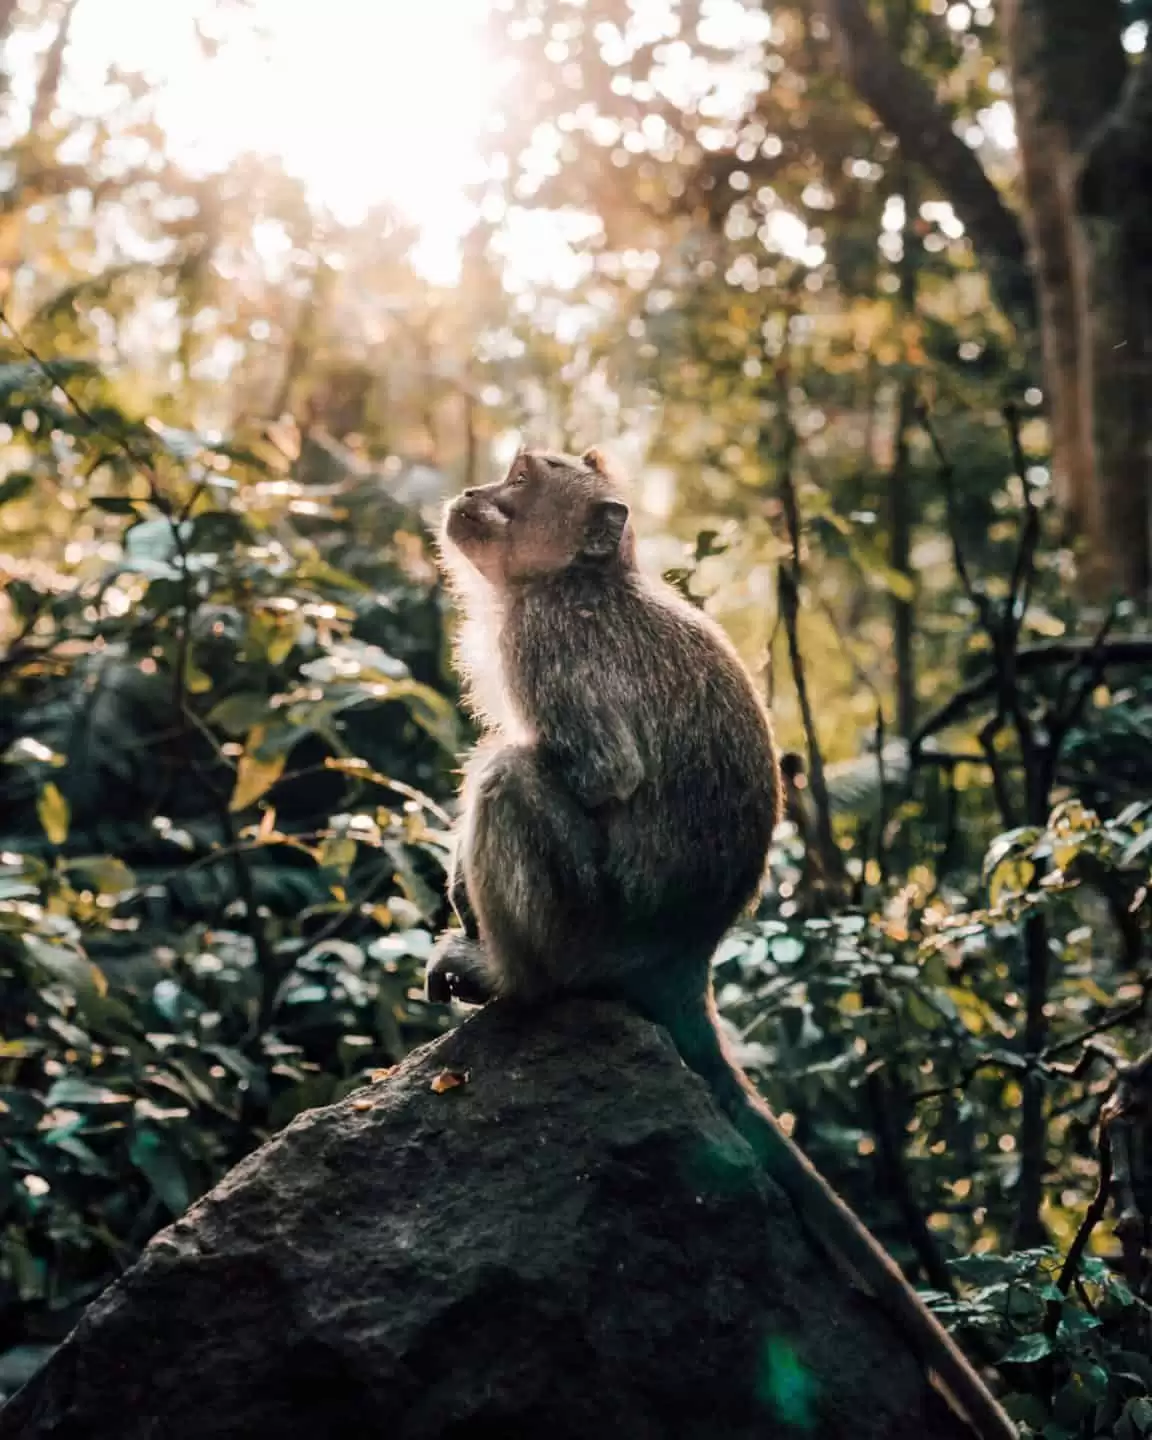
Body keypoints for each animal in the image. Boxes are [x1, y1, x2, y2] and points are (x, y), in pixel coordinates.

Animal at [425, 447, 1017, 1440]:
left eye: (520, 477)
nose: (473, 493)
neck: (579, 580)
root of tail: (684, 963)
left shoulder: (549, 642)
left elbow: (593, 773)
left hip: (588, 927)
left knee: (511, 777)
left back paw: (511, 978)